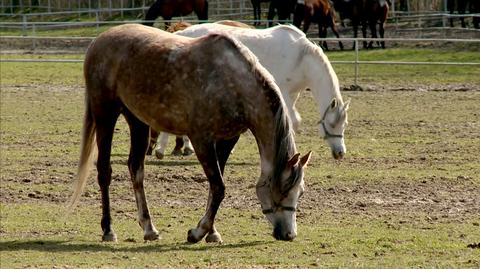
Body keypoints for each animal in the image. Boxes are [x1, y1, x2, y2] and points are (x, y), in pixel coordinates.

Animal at [70, 23, 312, 242]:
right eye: (284, 188)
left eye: (300, 191)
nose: (289, 234)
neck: (234, 83)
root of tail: (98, 41)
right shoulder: (201, 140)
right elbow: (219, 187)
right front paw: (198, 232)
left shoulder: (227, 140)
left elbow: (215, 187)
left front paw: (211, 232)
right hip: (105, 116)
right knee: (104, 171)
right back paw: (108, 229)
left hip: (138, 121)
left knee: (136, 169)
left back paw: (148, 228)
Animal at [156, 23, 350, 159]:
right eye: (332, 123)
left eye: (345, 124)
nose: (340, 153)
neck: (301, 57)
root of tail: (178, 34)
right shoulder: (283, 93)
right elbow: (292, 121)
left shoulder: (294, 94)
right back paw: (161, 149)